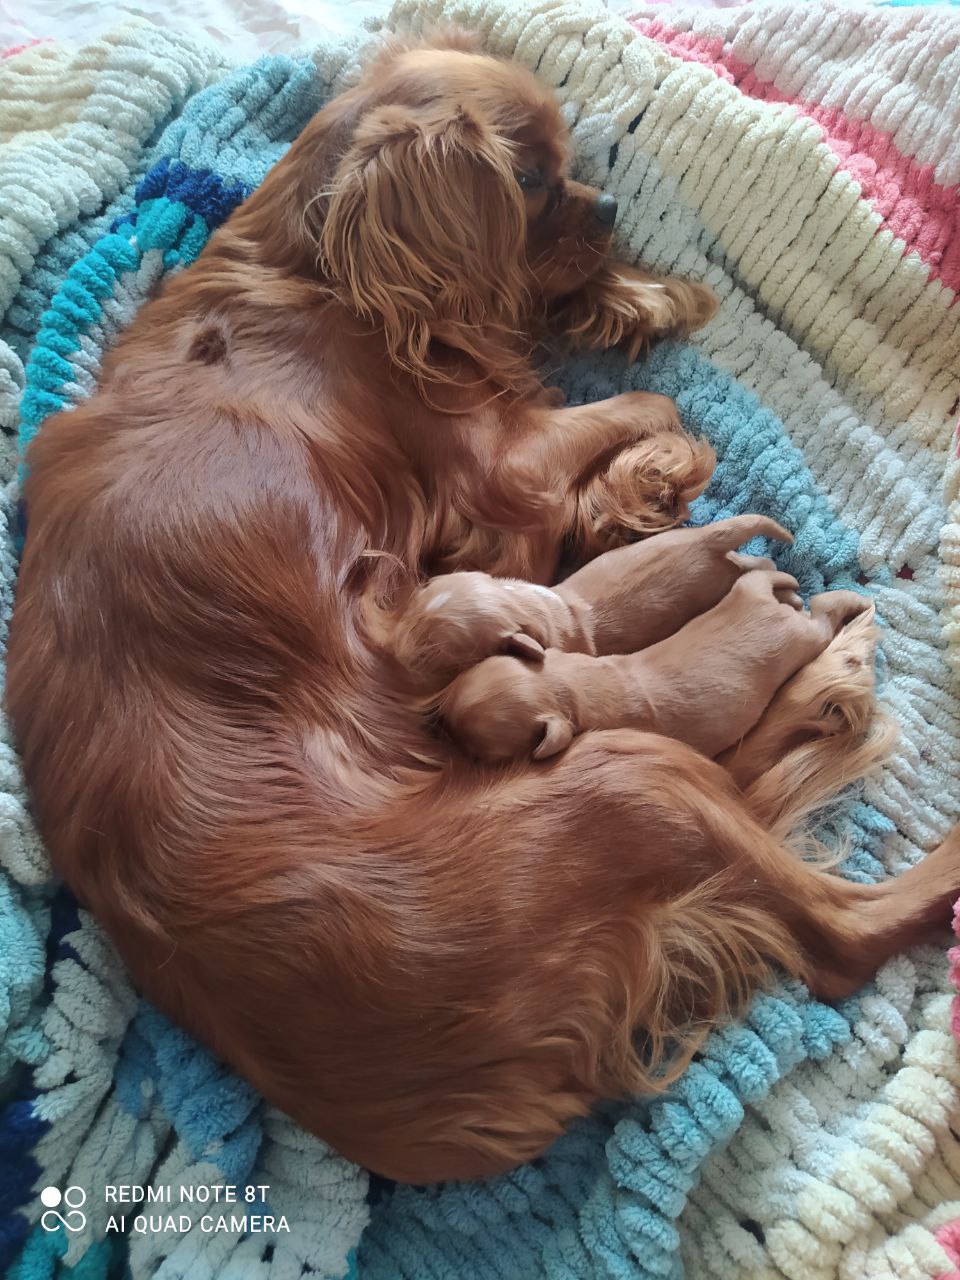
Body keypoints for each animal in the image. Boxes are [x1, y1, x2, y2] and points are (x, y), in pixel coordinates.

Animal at [442, 576, 870, 762]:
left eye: (480, 752)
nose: (438, 726)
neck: (564, 683)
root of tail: (766, 604)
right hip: (744, 591)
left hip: (804, 639)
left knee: (824, 615)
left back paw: (854, 601)